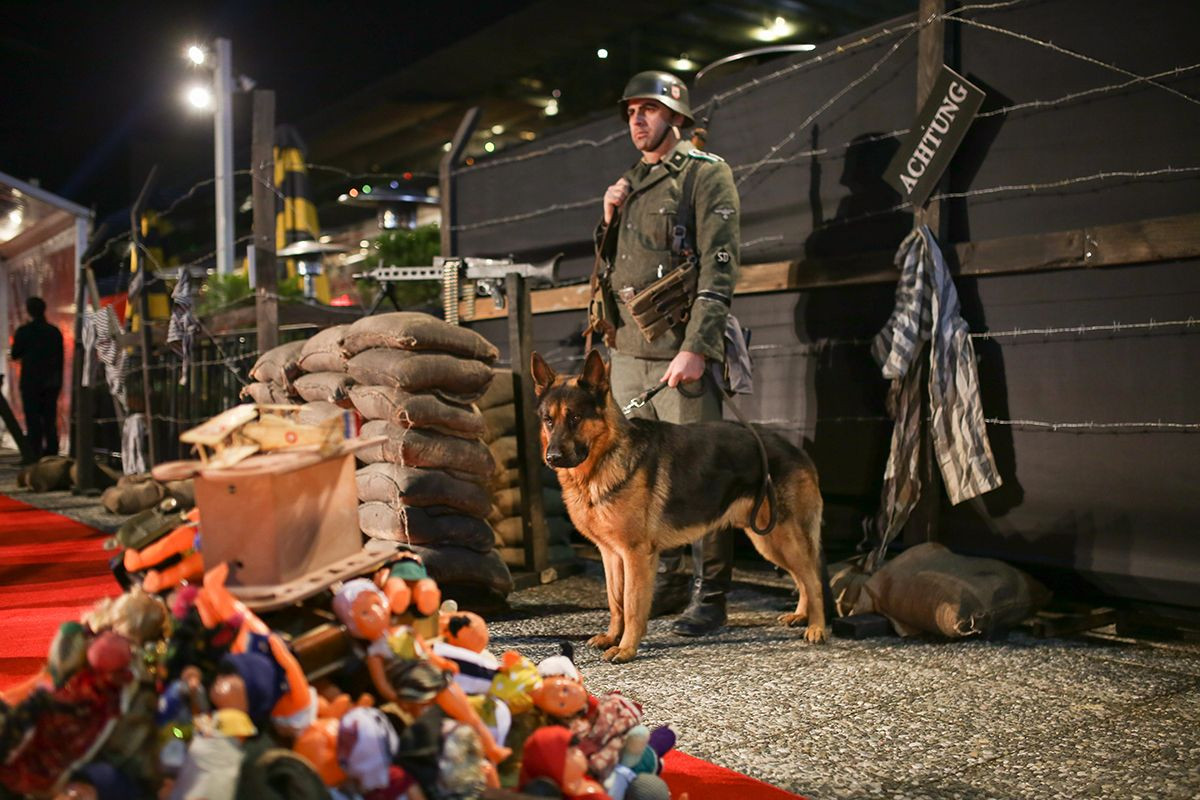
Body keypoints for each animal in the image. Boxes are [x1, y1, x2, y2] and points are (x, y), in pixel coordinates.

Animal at [530, 350, 830, 662]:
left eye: (575, 418)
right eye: (548, 420)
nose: (552, 457)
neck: (606, 456)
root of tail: (795, 448)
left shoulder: (635, 555)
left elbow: (632, 604)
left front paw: (626, 648)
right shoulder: (610, 554)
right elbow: (616, 601)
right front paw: (613, 637)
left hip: (781, 537)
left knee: (813, 579)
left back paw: (817, 628)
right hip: (768, 540)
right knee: (802, 577)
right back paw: (801, 615)